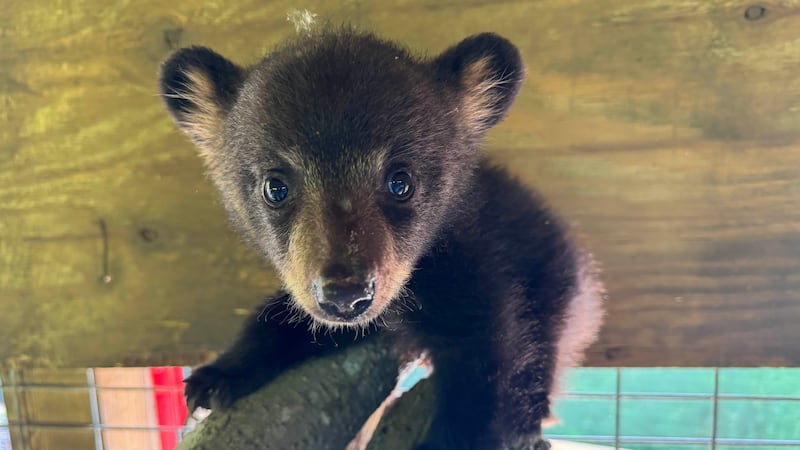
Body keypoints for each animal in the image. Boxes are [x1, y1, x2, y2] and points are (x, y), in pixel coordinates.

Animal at [159, 26, 604, 450]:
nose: (346, 295)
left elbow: (490, 372)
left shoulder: (479, 267)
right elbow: (292, 318)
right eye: (275, 187)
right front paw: (218, 375)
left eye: (400, 181)